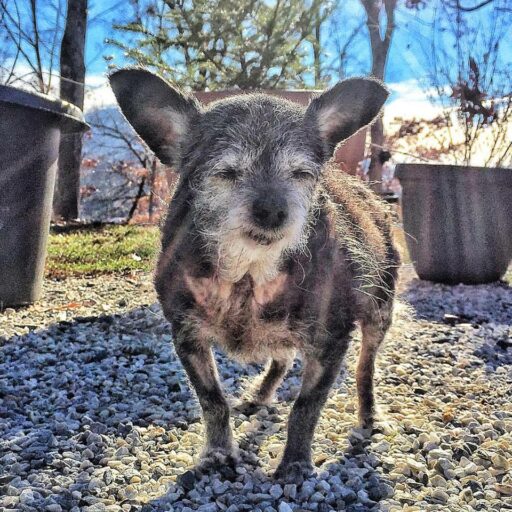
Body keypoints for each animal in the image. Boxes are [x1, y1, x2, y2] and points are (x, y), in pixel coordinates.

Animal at [110, 69, 400, 484]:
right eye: (227, 173)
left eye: (301, 174)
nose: (272, 210)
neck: (249, 275)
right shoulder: (187, 337)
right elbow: (213, 400)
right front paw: (218, 453)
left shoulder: (331, 343)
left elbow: (306, 407)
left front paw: (295, 463)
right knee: (282, 357)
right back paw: (260, 395)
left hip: (379, 314)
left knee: (364, 369)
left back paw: (368, 415)